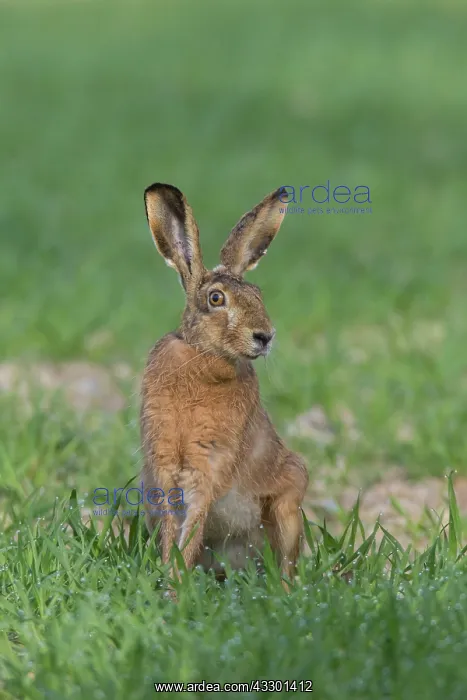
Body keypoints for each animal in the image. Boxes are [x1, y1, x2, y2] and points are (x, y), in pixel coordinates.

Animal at [140, 183, 309, 588]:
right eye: (216, 299)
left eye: (259, 294)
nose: (265, 336)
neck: (201, 357)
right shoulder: (164, 463)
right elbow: (173, 528)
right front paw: (170, 577)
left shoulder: (209, 465)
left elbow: (193, 526)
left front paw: (176, 583)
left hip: (288, 507)